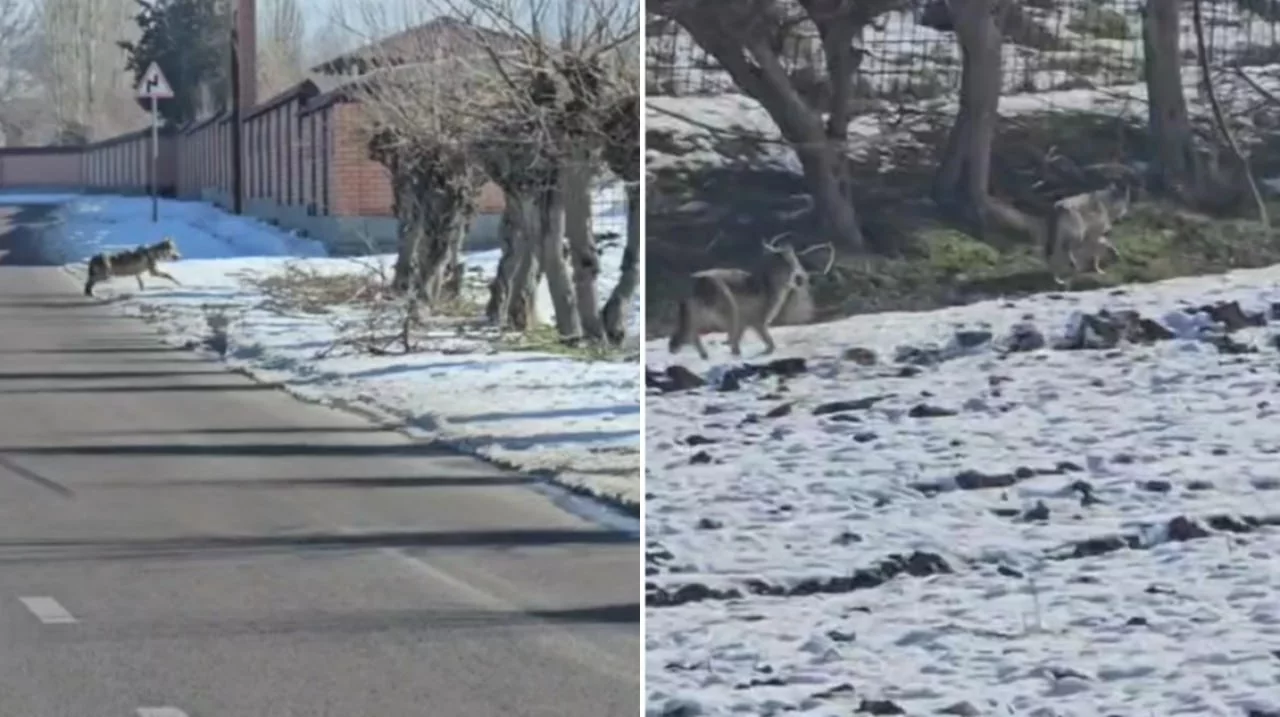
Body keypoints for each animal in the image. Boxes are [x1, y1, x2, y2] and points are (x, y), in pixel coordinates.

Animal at [665, 234, 834, 361]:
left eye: (794, 263)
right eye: (785, 263)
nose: (797, 277)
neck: (770, 284)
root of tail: (694, 280)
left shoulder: (745, 323)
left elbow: (740, 339)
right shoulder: (757, 322)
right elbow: (769, 343)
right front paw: (764, 352)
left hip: (700, 317)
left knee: (691, 335)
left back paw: (705, 356)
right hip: (727, 310)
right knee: (695, 335)